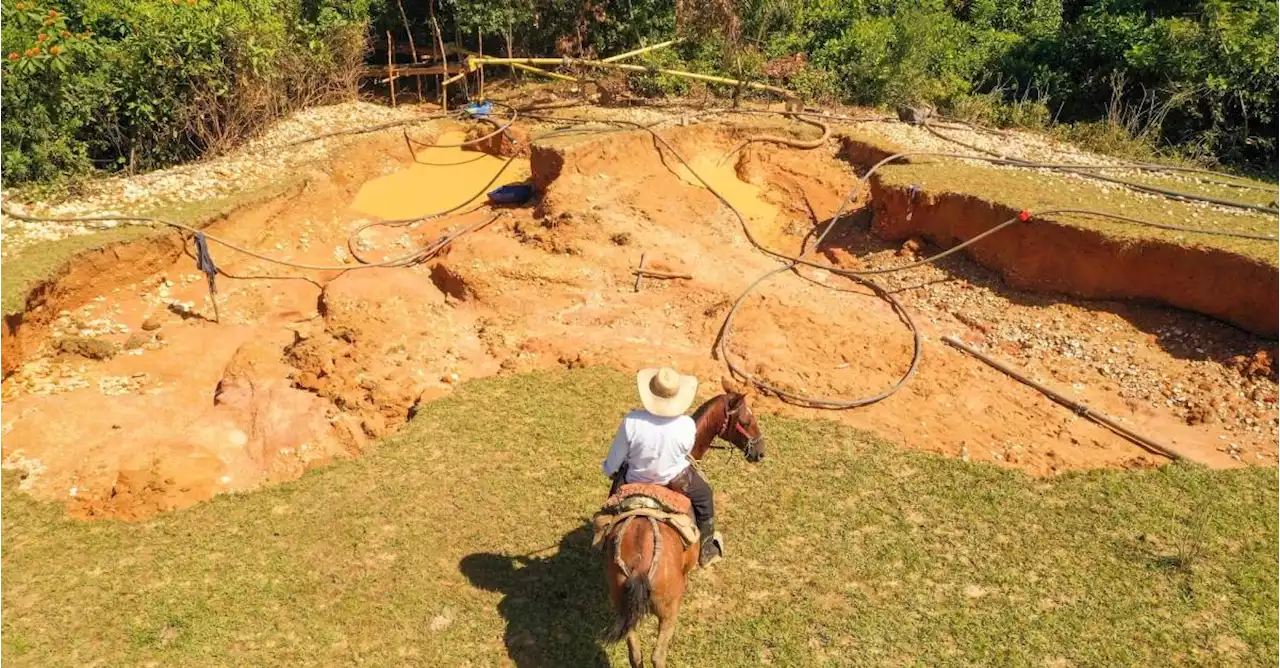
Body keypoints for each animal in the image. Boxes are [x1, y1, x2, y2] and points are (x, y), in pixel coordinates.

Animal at [604, 378, 762, 665]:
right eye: (747, 419)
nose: (760, 452)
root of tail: (640, 567)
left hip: (624, 611)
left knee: (636, 655)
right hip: (668, 612)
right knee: (657, 656)